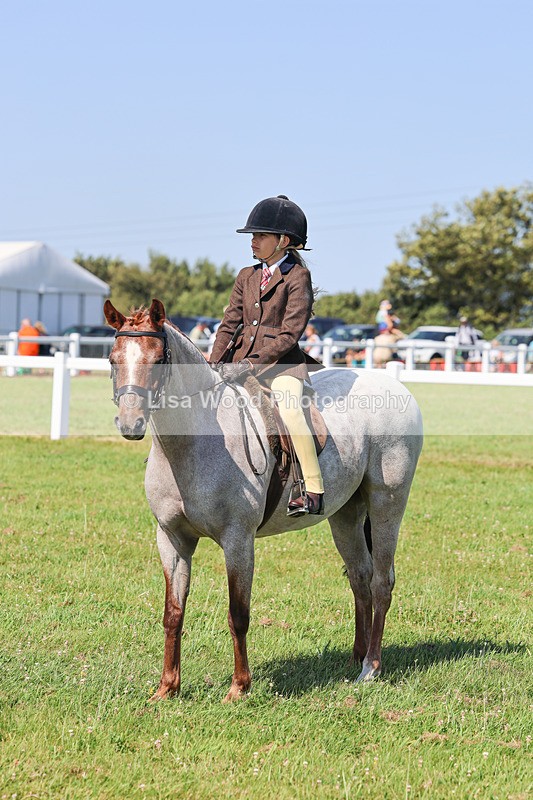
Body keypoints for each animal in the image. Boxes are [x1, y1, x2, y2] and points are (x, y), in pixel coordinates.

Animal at [104, 298, 423, 702]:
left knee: (381, 581)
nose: (130, 423)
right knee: (360, 578)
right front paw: (167, 688)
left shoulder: (238, 540)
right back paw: (357, 656)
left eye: (159, 359)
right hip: (346, 514)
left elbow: (238, 613)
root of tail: (393, 384)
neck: (195, 442)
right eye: (113, 358)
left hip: (387, 504)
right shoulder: (171, 539)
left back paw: (371, 667)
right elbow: (173, 613)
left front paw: (239, 687)